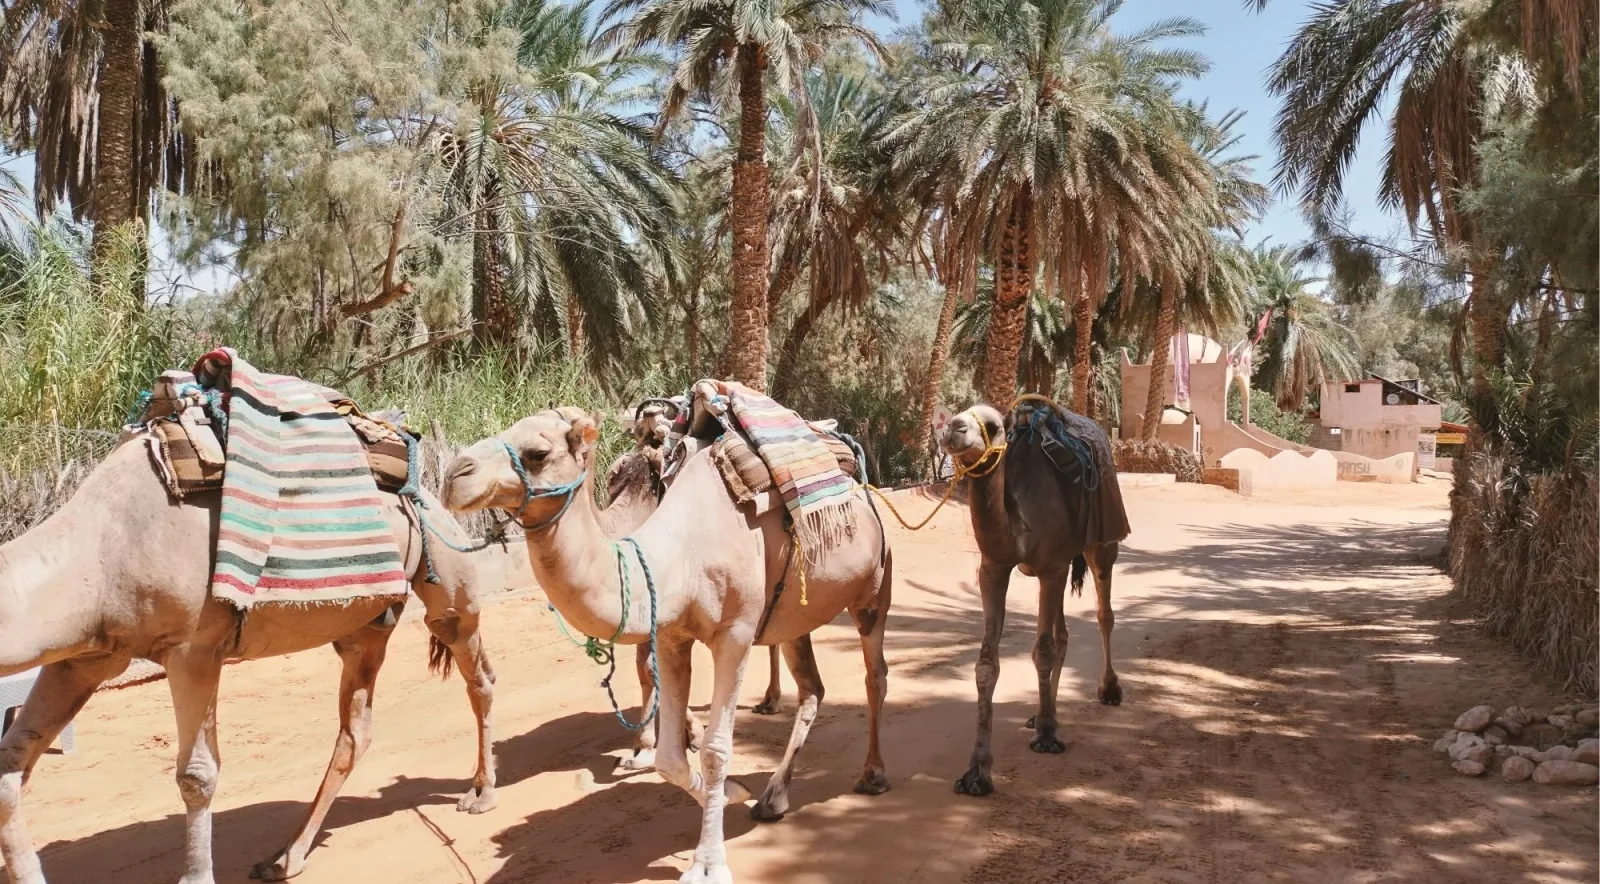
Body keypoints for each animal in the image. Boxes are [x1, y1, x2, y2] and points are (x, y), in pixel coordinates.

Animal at [0, 437, 496, 884]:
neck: (99, 553)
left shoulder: (193, 650)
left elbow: (196, 775)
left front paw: (196, 877)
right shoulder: (88, 658)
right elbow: (12, 762)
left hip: (446, 579)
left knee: (478, 677)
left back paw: (481, 794)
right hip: (365, 626)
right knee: (356, 730)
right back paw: (286, 857)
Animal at [443, 407, 891, 884]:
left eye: (537, 453)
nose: (454, 475)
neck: (679, 557)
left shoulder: (735, 633)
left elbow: (715, 750)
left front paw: (708, 863)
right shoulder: (672, 636)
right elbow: (670, 759)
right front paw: (730, 792)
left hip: (874, 587)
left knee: (874, 675)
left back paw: (873, 775)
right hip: (795, 616)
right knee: (812, 691)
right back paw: (773, 797)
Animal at [941, 402, 1129, 797]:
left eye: (993, 426)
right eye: (957, 414)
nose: (953, 428)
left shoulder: (1052, 567)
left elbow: (1041, 650)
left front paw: (1046, 737)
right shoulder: (993, 568)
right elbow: (987, 665)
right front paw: (977, 772)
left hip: (1101, 544)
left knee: (1104, 615)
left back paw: (1108, 689)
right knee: (1063, 634)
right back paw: (1046, 711)